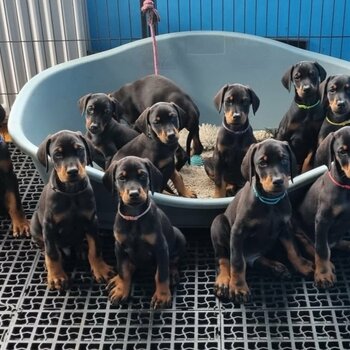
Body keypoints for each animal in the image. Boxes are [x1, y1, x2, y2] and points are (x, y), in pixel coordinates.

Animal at [30, 130, 114, 292]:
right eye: (58, 154)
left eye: (79, 150)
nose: (73, 171)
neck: (71, 193)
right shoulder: (49, 226)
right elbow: (52, 253)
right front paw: (57, 277)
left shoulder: (91, 221)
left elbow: (95, 248)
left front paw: (100, 269)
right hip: (35, 225)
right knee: (45, 247)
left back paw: (80, 249)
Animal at [103, 156, 187, 308]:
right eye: (121, 178)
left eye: (142, 175)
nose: (134, 194)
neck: (134, 217)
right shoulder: (119, 247)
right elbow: (123, 271)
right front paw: (121, 290)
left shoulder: (161, 247)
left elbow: (161, 274)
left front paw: (162, 296)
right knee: (129, 266)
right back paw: (116, 280)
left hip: (179, 237)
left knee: (173, 261)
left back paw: (172, 274)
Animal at [209, 139, 314, 304]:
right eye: (262, 163)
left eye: (284, 159)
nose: (278, 181)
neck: (270, 202)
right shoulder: (238, 232)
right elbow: (237, 262)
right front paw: (238, 287)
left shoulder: (285, 226)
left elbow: (293, 249)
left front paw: (302, 265)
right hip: (218, 224)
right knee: (224, 259)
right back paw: (223, 281)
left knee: (253, 259)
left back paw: (276, 267)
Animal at [292, 126, 350, 290]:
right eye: (342, 152)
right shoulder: (323, 220)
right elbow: (322, 250)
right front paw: (323, 274)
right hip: (298, 228)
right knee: (312, 246)